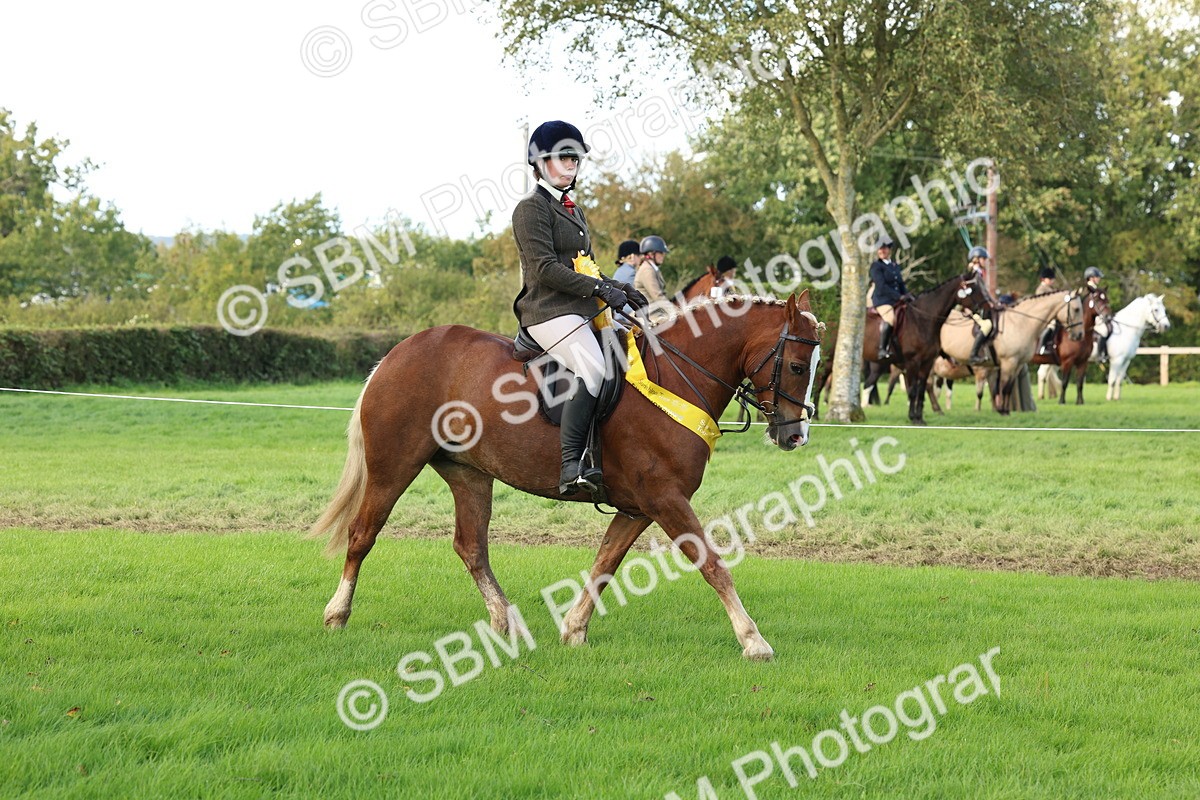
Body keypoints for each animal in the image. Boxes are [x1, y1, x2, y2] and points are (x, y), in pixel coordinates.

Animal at [310, 292, 823, 660]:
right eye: (798, 366)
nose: (795, 435)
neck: (674, 377)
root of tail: (396, 353)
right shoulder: (665, 499)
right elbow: (713, 564)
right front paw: (753, 641)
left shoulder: (639, 507)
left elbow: (605, 564)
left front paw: (574, 629)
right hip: (393, 467)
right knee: (363, 533)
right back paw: (337, 614)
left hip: (470, 475)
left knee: (471, 547)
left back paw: (507, 624)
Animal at [940, 289, 1083, 414]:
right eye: (1076, 309)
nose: (1079, 335)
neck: (1020, 323)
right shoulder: (1009, 362)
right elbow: (1003, 387)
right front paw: (1002, 410)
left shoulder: (1018, 364)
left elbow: (1008, 388)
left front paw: (1005, 410)